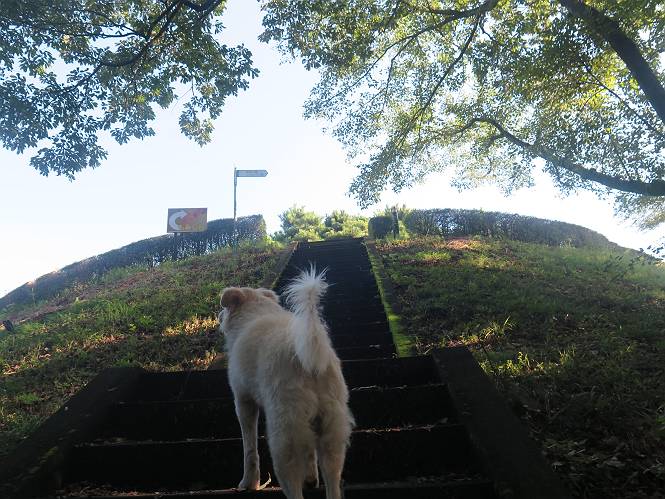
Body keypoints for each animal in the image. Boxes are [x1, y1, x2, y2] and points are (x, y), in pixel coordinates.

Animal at [218, 268, 354, 499]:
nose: (218, 315)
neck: (256, 311)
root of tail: (309, 359)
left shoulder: (243, 401)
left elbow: (249, 449)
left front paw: (248, 483)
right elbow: (309, 454)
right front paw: (311, 479)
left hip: (284, 434)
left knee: (292, 483)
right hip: (331, 433)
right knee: (332, 481)